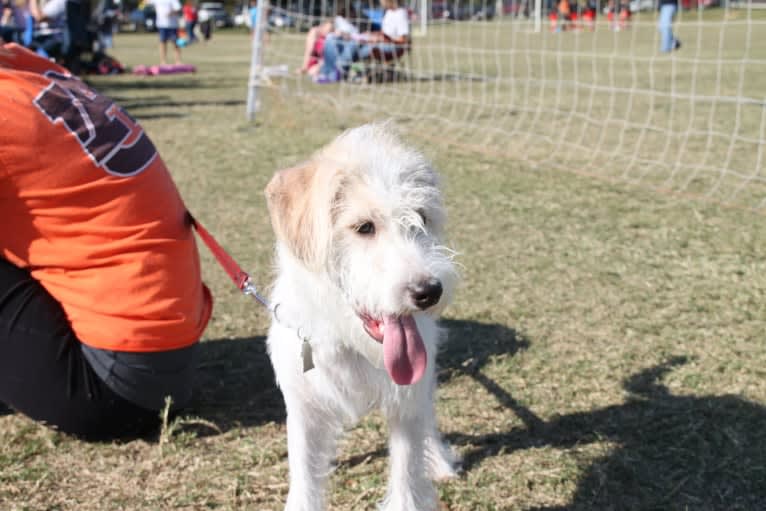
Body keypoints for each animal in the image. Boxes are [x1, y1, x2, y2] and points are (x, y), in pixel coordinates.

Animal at [264, 124, 460, 511]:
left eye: (421, 218)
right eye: (364, 227)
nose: (430, 291)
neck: (349, 343)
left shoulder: (406, 406)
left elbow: (406, 478)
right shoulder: (304, 411)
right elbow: (305, 478)